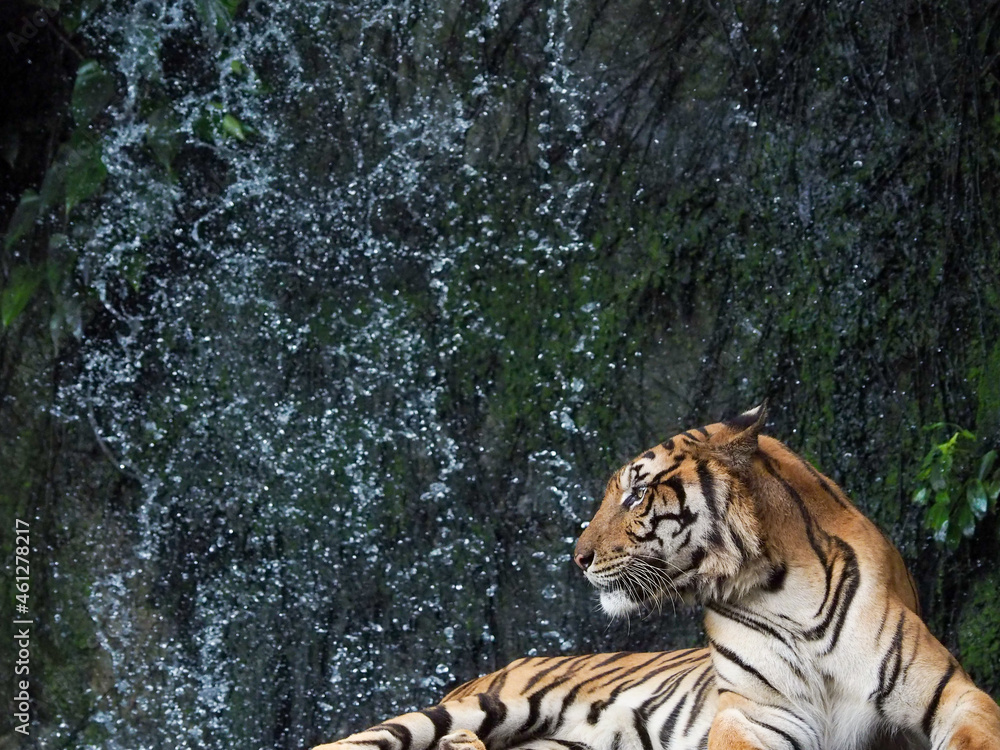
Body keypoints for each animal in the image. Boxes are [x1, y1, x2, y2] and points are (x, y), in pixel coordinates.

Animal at [312, 404, 1000, 750]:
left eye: (637, 492)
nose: (577, 557)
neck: (783, 593)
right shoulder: (755, 715)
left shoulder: (953, 694)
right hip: (461, 708)